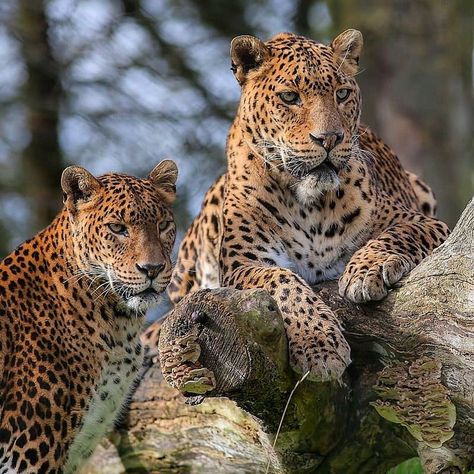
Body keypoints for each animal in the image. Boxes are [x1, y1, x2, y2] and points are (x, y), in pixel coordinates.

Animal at [163, 28, 448, 386]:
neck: (310, 202)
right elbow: (282, 282)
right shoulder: (243, 264)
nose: (329, 138)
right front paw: (319, 346)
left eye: (342, 93)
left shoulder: (424, 222)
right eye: (289, 97)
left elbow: (394, 235)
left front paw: (365, 270)